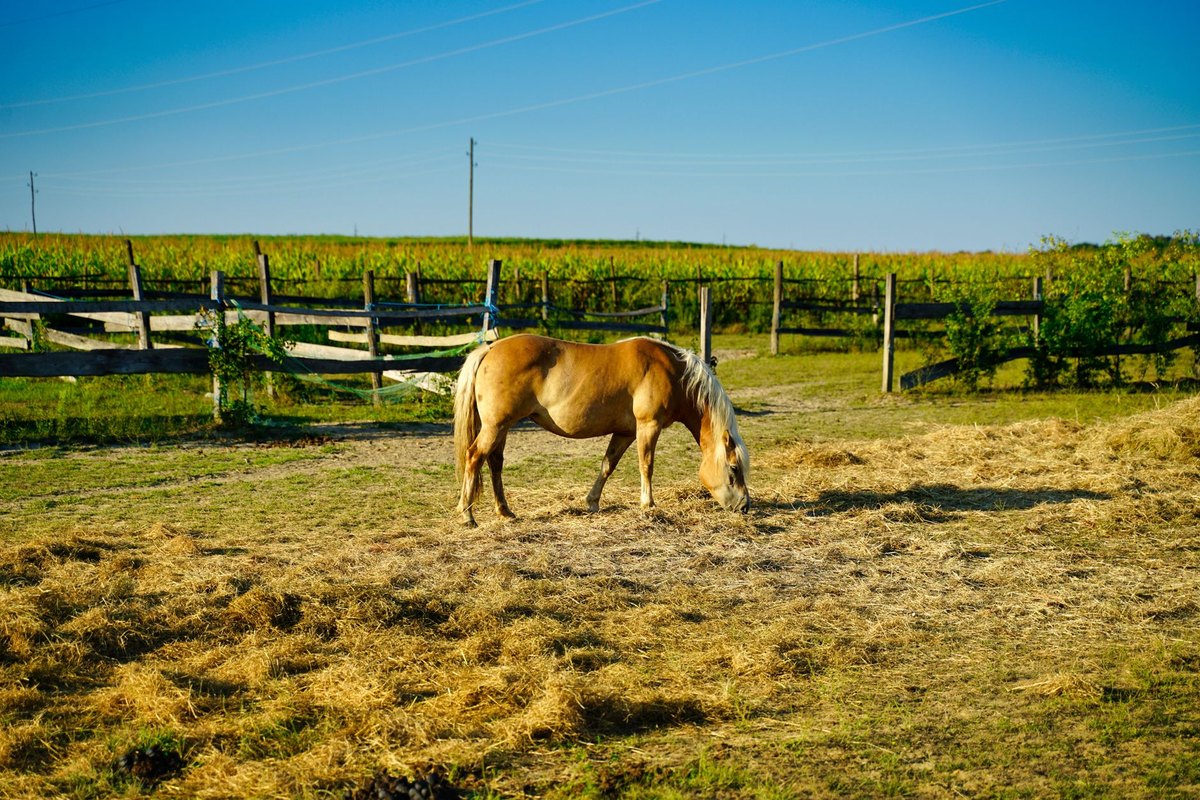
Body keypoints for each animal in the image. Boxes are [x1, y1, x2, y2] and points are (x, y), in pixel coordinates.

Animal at [453, 334, 750, 526]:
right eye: (733, 469)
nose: (744, 506)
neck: (674, 374)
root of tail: (490, 349)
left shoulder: (625, 433)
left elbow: (608, 465)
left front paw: (592, 502)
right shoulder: (648, 426)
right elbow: (647, 465)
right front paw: (648, 504)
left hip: (501, 427)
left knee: (494, 463)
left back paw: (505, 512)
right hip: (496, 426)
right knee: (474, 457)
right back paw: (467, 515)